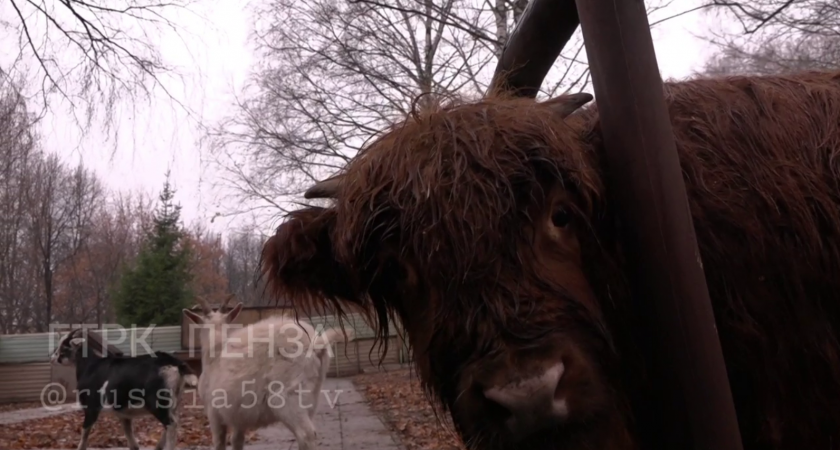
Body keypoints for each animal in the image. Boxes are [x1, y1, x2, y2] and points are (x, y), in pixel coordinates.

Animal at [50, 328, 199, 450]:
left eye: (64, 346)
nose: (52, 357)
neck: (90, 366)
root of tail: (176, 363)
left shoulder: (91, 407)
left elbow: (84, 433)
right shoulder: (125, 414)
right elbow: (132, 442)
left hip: (157, 402)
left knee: (171, 424)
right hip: (174, 402)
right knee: (174, 422)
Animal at [184, 296, 354, 450]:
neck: (215, 351)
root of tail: (316, 343)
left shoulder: (214, 413)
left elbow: (219, 442)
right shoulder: (239, 417)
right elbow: (237, 441)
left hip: (287, 395)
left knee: (305, 435)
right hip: (311, 398)